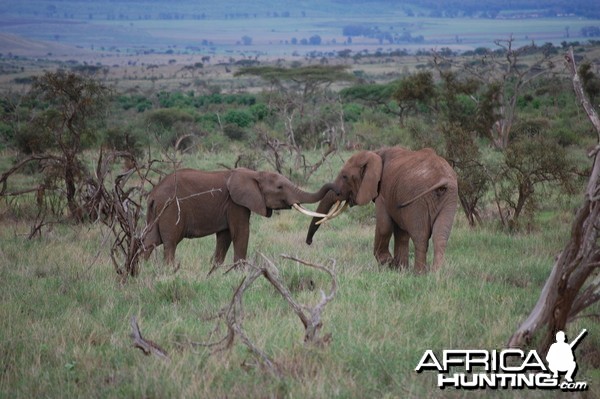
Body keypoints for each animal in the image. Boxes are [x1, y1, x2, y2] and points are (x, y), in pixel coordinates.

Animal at [143, 167, 336, 268]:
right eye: (280, 187)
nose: (336, 187)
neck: (254, 174)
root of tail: (153, 195)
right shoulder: (235, 203)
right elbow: (241, 232)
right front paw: (241, 272)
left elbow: (225, 236)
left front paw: (216, 269)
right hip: (171, 209)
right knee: (170, 242)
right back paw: (169, 270)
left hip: (155, 212)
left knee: (150, 241)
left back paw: (142, 270)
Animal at [308, 148, 458, 274]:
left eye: (345, 176)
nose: (309, 243)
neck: (375, 153)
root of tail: (442, 178)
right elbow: (401, 233)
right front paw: (400, 270)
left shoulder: (383, 193)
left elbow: (384, 226)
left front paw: (389, 264)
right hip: (449, 199)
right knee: (440, 236)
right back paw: (435, 274)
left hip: (420, 199)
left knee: (420, 236)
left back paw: (419, 274)